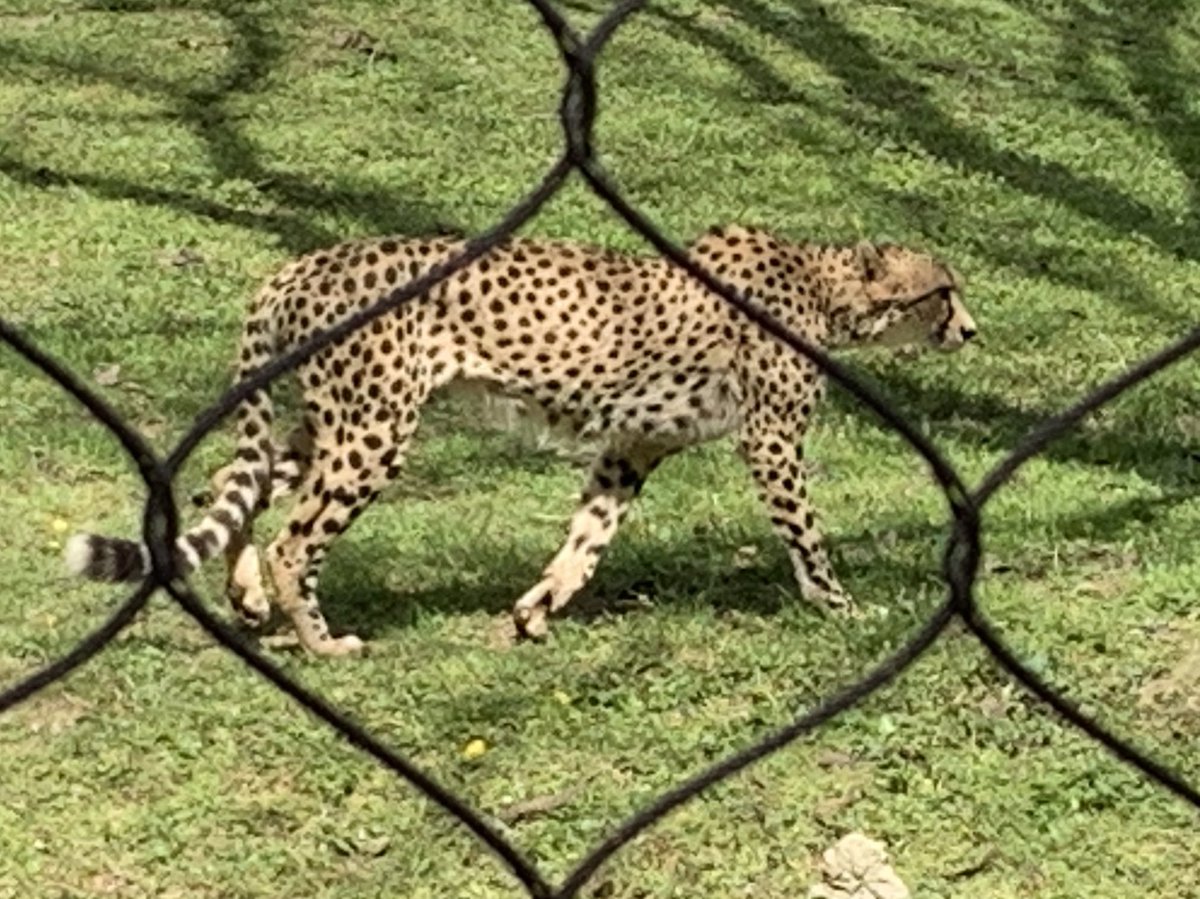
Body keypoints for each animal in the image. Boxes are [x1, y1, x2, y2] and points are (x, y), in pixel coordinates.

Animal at [65, 225, 976, 656]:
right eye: (944, 290)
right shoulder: (772, 442)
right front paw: (843, 606)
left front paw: (537, 609)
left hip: (335, 421)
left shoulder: (630, 448)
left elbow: (587, 539)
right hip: (374, 431)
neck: (826, 286)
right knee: (295, 535)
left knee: (242, 479)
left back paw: (246, 594)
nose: (972, 328)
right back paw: (321, 639)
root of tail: (306, 260)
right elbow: (808, 537)